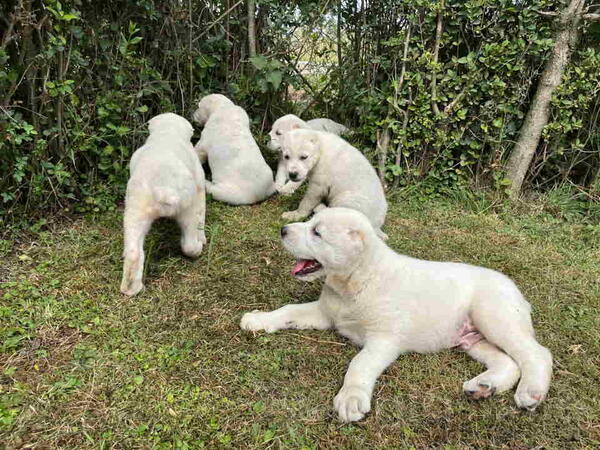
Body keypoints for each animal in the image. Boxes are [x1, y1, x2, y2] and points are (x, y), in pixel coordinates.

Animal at [119, 112, 206, 298]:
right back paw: (197, 248)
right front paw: (203, 238)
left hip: (135, 209)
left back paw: (131, 289)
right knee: (189, 242)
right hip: (187, 207)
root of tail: (162, 188)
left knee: (134, 252)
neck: (167, 133)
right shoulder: (199, 185)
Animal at [239, 207, 552, 422]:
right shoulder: (324, 313)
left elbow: (359, 364)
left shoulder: (384, 340)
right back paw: (484, 386)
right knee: (508, 362)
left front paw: (351, 398)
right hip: (473, 338)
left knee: (537, 354)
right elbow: (288, 310)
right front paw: (258, 319)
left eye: (317, 232)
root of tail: (518, 292)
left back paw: (530, 391)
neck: (355, 283)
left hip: (495, 317)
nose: (283, 229)